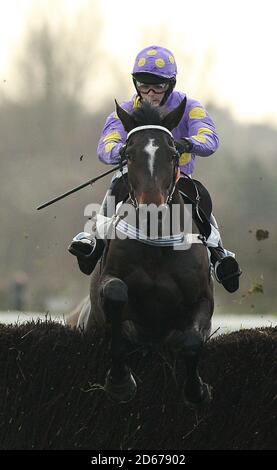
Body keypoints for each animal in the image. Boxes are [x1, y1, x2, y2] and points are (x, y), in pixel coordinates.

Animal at [67, 99, 213, 408]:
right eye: (129, 154)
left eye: (173, 154)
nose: (152, 210)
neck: (157, 244)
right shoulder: (109, 283)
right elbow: (116, 303)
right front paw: (120, 382)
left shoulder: (203, 299)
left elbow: (192, 341)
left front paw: (197, 391)